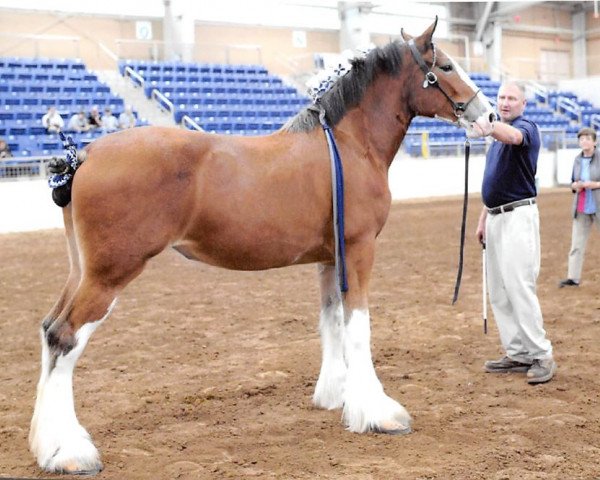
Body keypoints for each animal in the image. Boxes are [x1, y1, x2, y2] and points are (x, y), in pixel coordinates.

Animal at [28, 17, 494, 472]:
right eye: (446, 66)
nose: (487, 114)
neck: (349, 144)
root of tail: (82, 157)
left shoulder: (330, 259)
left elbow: (332, 322)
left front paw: (336, 396)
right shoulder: (360, 250)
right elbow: (359, 325)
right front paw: (378, 413)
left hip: (81, 271)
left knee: (50, 330)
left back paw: (48, 445)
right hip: (110, 274)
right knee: (65, 337)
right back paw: (70, 453)